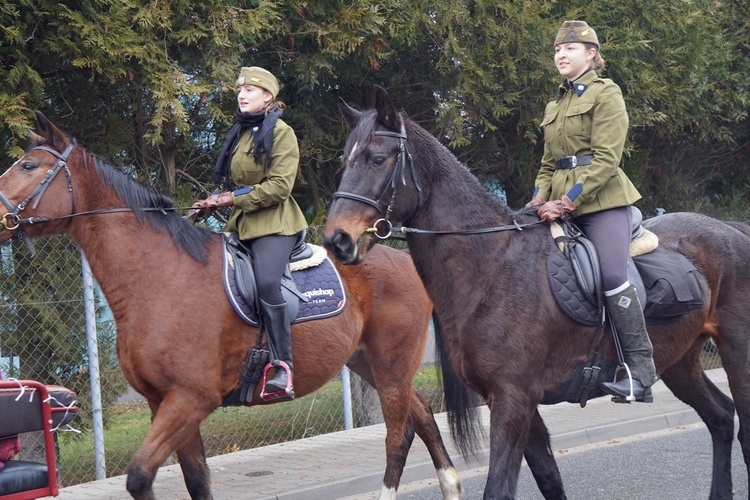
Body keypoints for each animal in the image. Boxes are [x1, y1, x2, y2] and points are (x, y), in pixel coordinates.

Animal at [0, 112, 470, 500]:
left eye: (28, 166)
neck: (158, 275)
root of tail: (406, 260)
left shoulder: (190, 400)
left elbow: (139, 477)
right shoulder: (163, 403)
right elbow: (196, 480)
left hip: (391, 368)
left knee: (398, 436)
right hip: (368, 363)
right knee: (424, 418)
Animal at [322, 84, 750, 498]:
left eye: (378, 159)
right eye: (343, 163)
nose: (337, 240)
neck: (491, 266)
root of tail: (732, 229)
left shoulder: (513, 399)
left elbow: (499, 488)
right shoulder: (514, 400)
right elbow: (548, 478)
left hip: (735, 350)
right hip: (679, 360)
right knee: (720, 417)